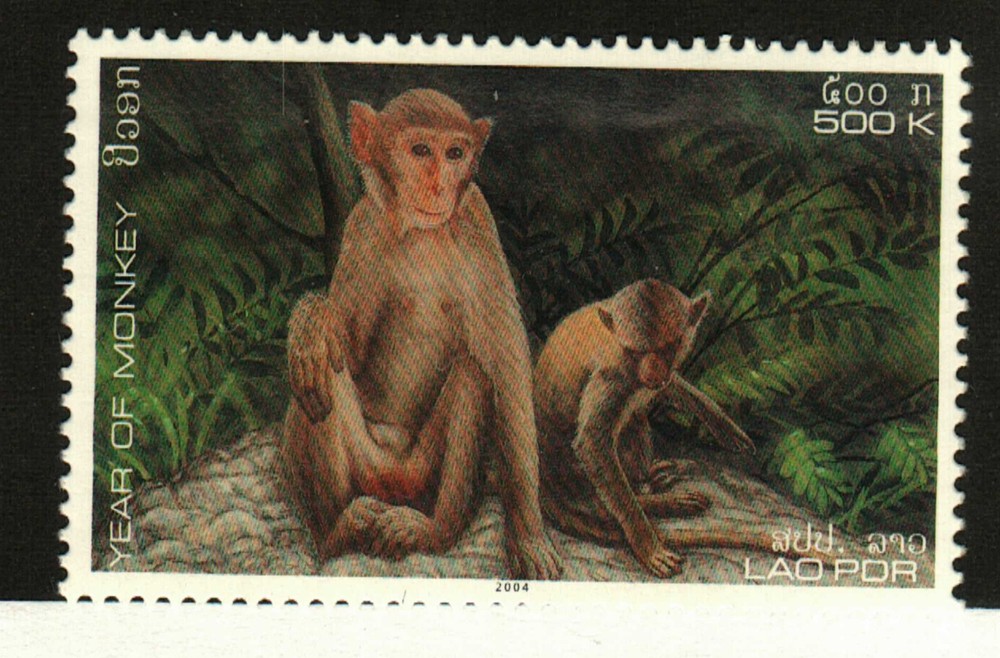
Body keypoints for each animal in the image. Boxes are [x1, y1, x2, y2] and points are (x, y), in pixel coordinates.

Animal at [282, 89, 562, 580]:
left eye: (454, 154)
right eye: (419, 150)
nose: (438, 186)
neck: (421, 231)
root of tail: (394, 478)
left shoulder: (476, 219)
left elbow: (507, 368)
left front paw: (529, 537)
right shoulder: (363, 227)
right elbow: (345, 348)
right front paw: (310, 320)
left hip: (423, 473)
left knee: (472, 375)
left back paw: (434, 530)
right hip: (367, 468)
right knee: (320, 377)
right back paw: (337, 532)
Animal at [535, 279, 828, 578]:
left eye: (670, 346)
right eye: (636, 351)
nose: (652, 373)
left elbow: (675, 386)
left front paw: (725, 426)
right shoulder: (610, 373)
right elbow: (591, 442)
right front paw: (648, 546)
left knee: (635, 421)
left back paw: (651, 481)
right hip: (571, 472)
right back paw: (660, 501)